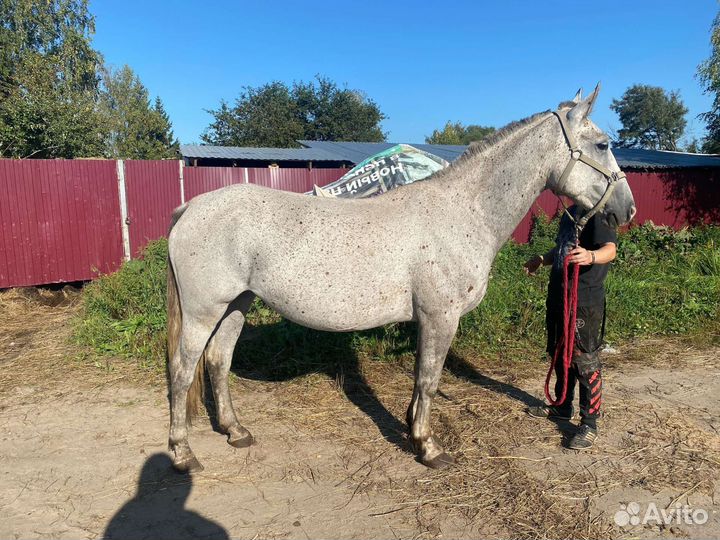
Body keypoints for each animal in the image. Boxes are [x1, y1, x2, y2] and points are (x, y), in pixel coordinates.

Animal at [166, 85, 636, 472]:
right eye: (602, 144)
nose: (626, 210)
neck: (462, 212)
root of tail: (189, 209)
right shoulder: (440, 317)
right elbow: (429, 379)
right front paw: (429, 448)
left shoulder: (429, 320)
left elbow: (420, 379)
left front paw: (413, 431)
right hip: (203, 311)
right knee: (182, 370)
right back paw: (183, 454)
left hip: (236, 304)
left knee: (218, 361)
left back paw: (236, 432)